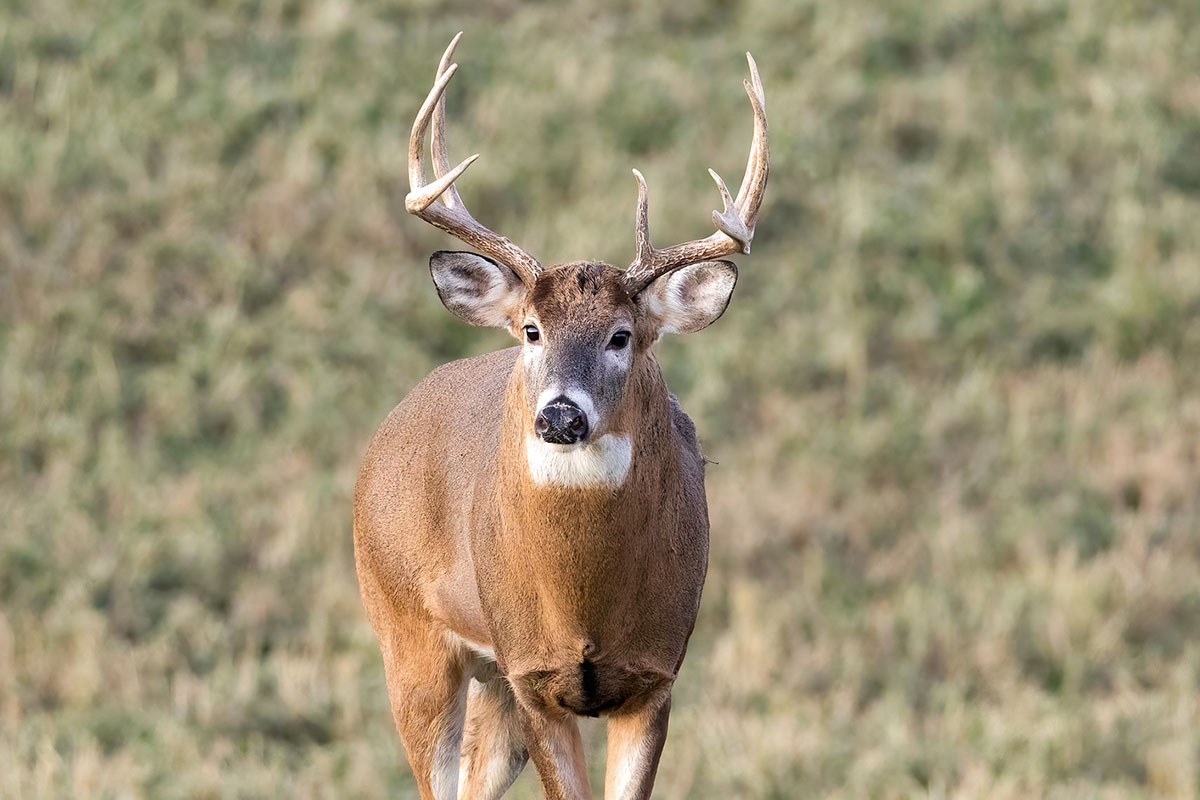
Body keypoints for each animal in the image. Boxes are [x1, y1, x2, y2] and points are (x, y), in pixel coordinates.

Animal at [353, 32, 769, 800]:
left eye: (621, 336)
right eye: (531, 330)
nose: (561, 417)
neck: (584, 608)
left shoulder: (654, 675)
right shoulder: (533, 674)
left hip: (489, 680)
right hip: (407, 633)